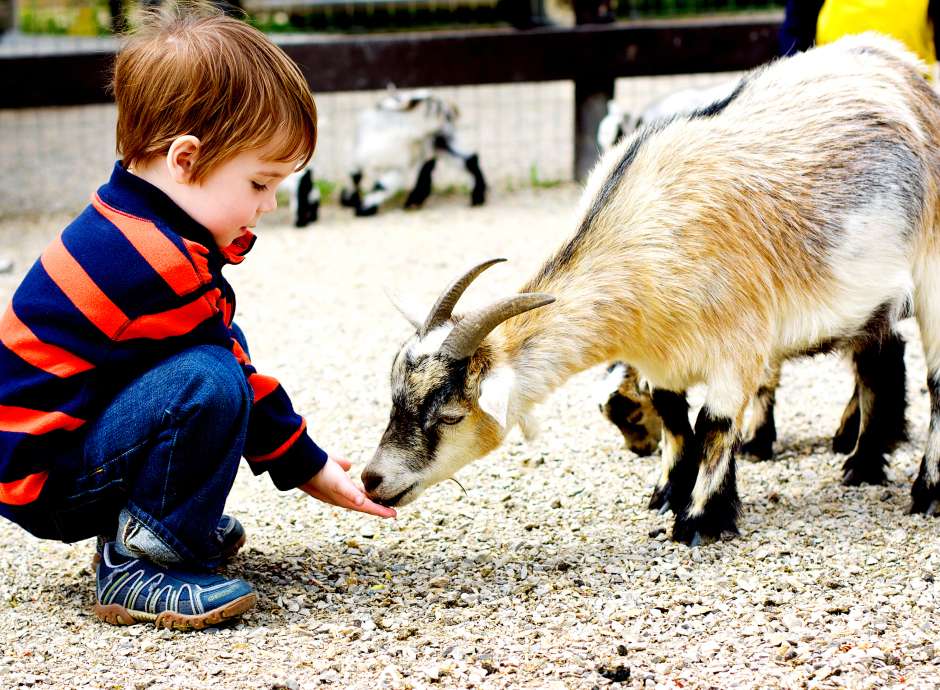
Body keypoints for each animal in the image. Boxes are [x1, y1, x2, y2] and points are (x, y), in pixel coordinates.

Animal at [340, 87, 488, 215]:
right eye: (437, 105)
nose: (456, 111)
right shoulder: (359, 156)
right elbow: (354, 176)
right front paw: (348, 199)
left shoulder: (398, 168)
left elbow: (381, 186)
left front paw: (364, 209)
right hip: (441, 144)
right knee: (467, 159)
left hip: (437, 144)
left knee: (444, 163)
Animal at [364, 35, 940, 544]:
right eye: (393, 400)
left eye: (450, 414)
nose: (373, 480)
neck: (643, 240)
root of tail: (909, 71)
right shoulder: (660, 359)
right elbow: (675, 421)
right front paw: (668, 494)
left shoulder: (738, 348)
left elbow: (713, 424)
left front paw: (699, 522)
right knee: (877, 361)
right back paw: (862, 463)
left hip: (930, 269)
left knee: (933, 381)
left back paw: (925, 492)